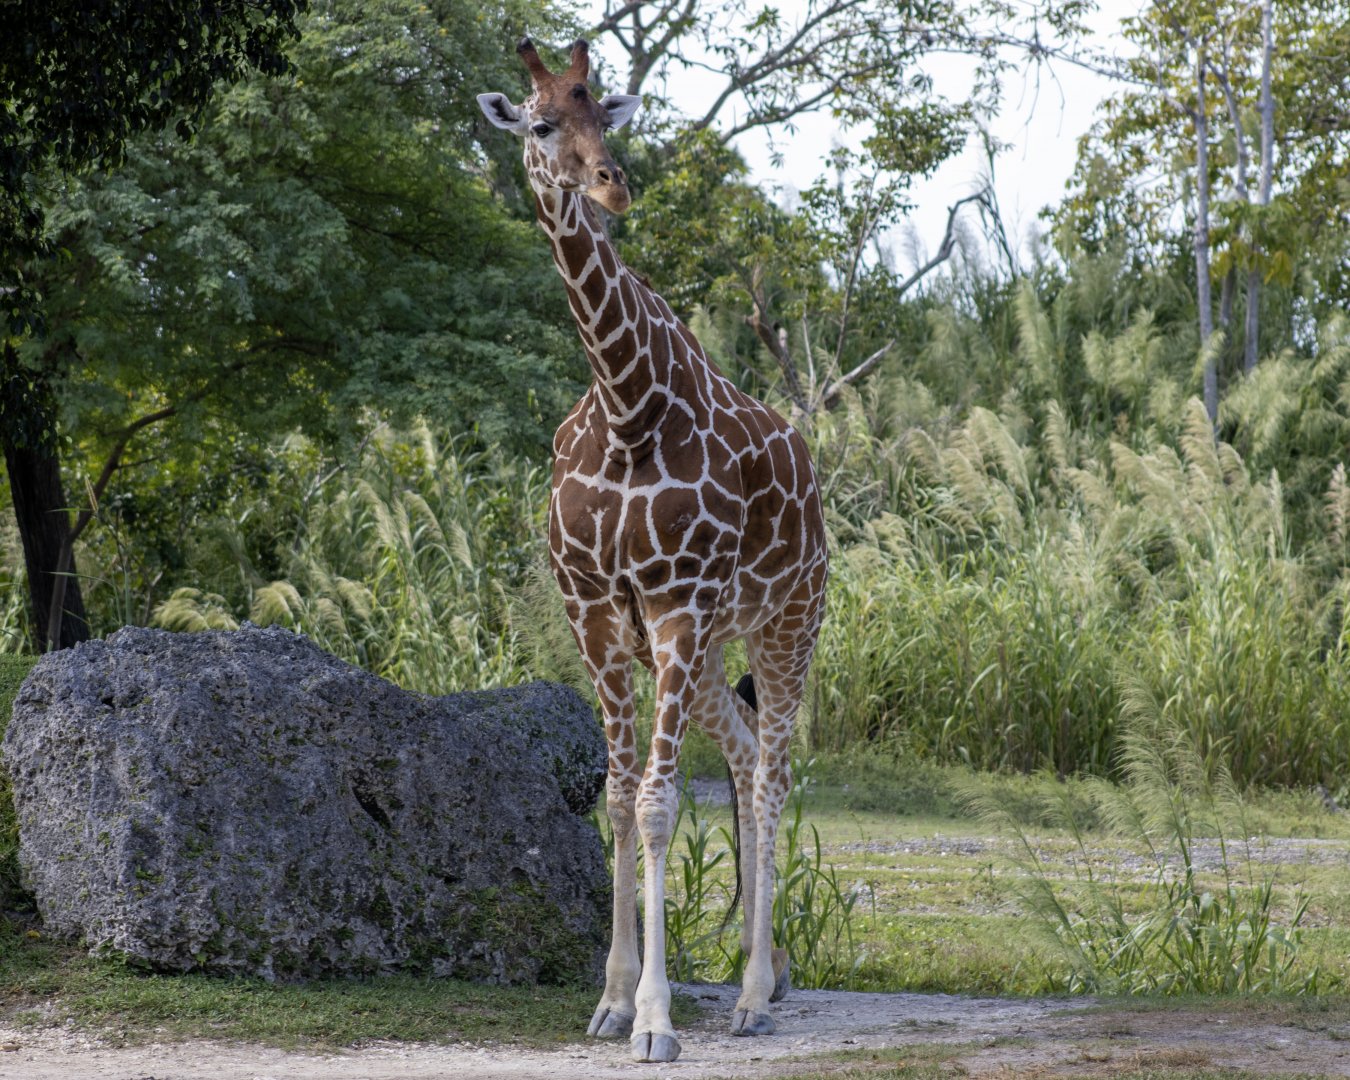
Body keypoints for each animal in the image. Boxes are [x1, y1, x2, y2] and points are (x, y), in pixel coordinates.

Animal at [478, 37, 828, 1065]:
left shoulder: (677, 603)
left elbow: (659, 805)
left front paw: (659, 1020)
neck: (627, 405)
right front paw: (611, 998)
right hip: (709, 653)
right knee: (746, 754)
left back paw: (752, 996)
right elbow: (616, 794)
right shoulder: (598, 611)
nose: (612, 184)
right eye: (541, 122)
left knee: (777, 768)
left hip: (786, 620)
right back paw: (767, 972)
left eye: (607, 115)